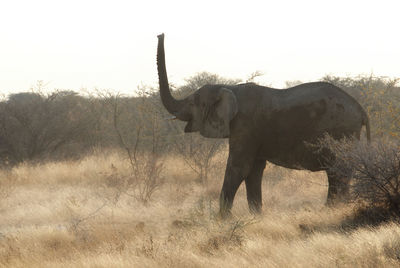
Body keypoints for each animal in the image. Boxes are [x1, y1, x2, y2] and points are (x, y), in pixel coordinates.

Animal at [156, 33, 372, 217]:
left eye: (194, 103)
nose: (160, 34)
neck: (228, 87)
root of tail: (362, 110)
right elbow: (254, 171)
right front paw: (256, 216)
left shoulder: (245, 126)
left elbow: (238, 167)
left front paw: (222, 220)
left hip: (342, 130)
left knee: (338, 170)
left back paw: (330, 210)